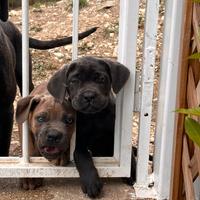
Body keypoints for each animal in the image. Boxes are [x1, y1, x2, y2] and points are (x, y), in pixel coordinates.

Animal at [47, 56, 135, 198]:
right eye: (74, 81)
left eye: (101, 79)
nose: (89, 96)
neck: (95, 117)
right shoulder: (79, 143)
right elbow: (83, 157)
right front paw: (91, 183)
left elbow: (129, 154)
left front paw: (131, 173)